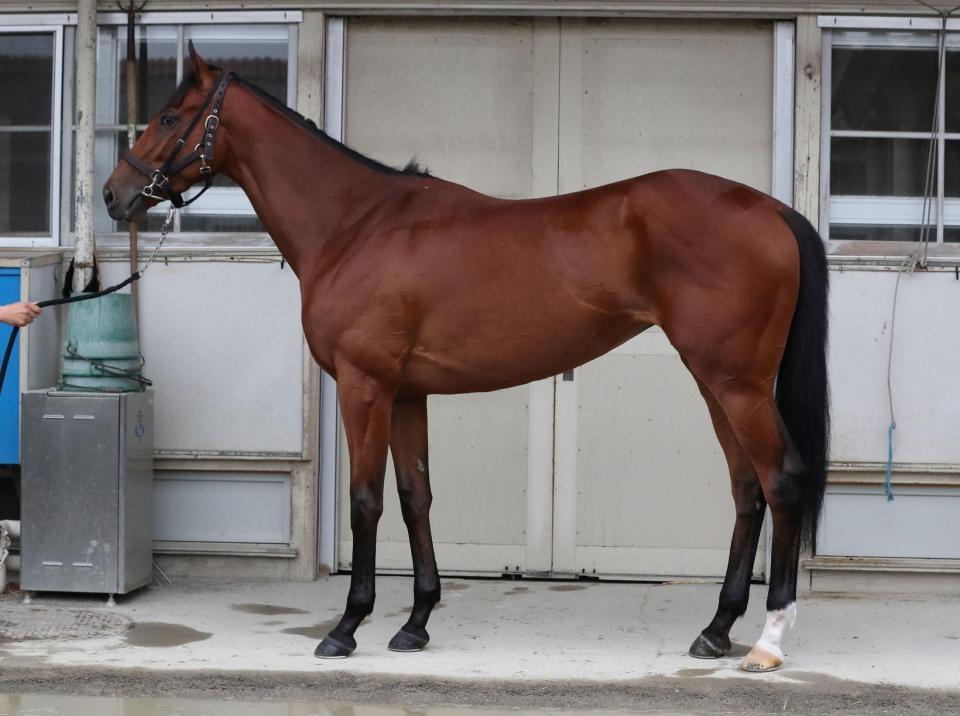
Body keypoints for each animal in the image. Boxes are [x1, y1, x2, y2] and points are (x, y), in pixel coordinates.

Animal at [104, 42, 828, 673]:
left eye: (167, 116)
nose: (114, 195)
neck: (356, 225)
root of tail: (772, 210)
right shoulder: (405, 393)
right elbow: (414, 495)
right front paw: (415, 623)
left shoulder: (365, 387)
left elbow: (366, 500)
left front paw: (347, 627)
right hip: (716, 383)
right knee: (746, 490)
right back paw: (715, 630)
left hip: (737, 385)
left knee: (782, 481)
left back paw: (768, 641)